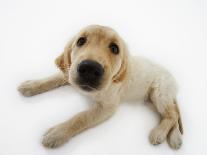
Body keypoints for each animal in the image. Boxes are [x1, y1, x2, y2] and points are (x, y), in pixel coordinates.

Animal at [17, 24, 183, 150]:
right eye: (81, 41)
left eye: (115, 48)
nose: (90, 68)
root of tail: (173, 80)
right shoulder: (70, 72)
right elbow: (55, 78)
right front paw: (32, 85)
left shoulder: (107, 107)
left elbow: (81, 117)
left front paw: (57, 133)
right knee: (174, 113)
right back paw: (175, 137)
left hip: (160, 93)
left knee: (172, 114)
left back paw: (160, 134)